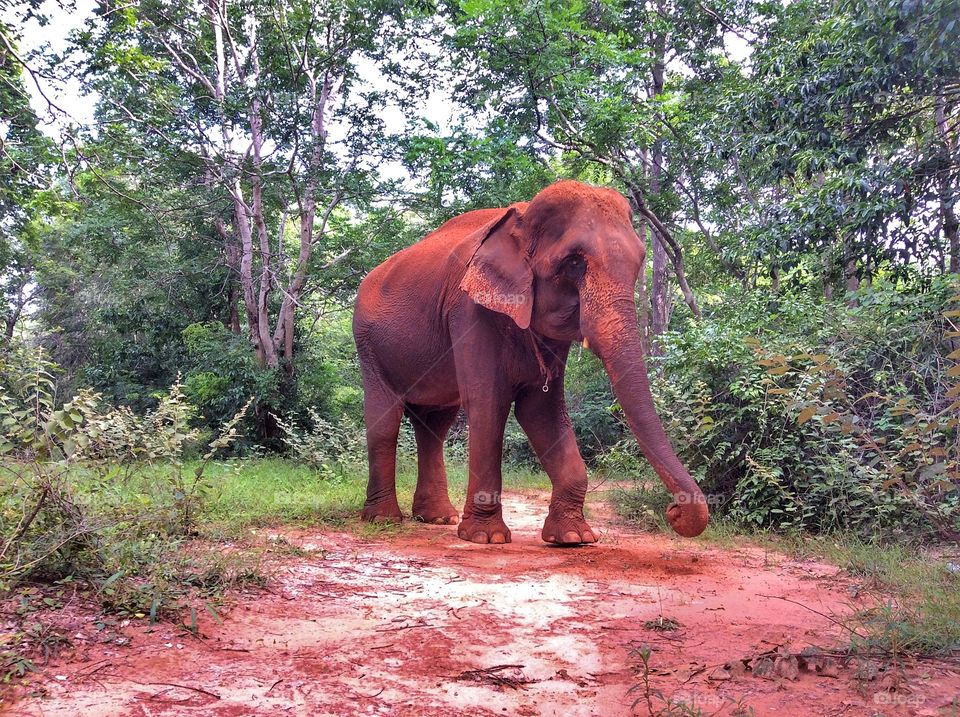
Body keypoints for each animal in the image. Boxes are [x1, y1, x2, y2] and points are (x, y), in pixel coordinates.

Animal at [352, 180, 708, 545]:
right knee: (385, 420)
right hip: (368, 343)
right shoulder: (468, 309)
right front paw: (487, 538)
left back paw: (438, 519)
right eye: (574, 263)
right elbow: (488, 401)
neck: (520, 218)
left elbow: (542, 409)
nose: (674, 511)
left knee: (434, 425)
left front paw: (573, 538)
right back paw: (383, 519)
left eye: (639, 263)